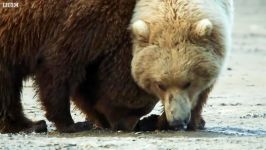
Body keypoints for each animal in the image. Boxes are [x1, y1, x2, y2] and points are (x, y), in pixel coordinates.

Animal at [0, 0, 158, 134]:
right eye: (138, 108)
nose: (129, 127)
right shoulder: (81, 24)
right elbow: (57, 70)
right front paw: (72, 124)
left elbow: (86, 89)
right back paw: (30, 125)